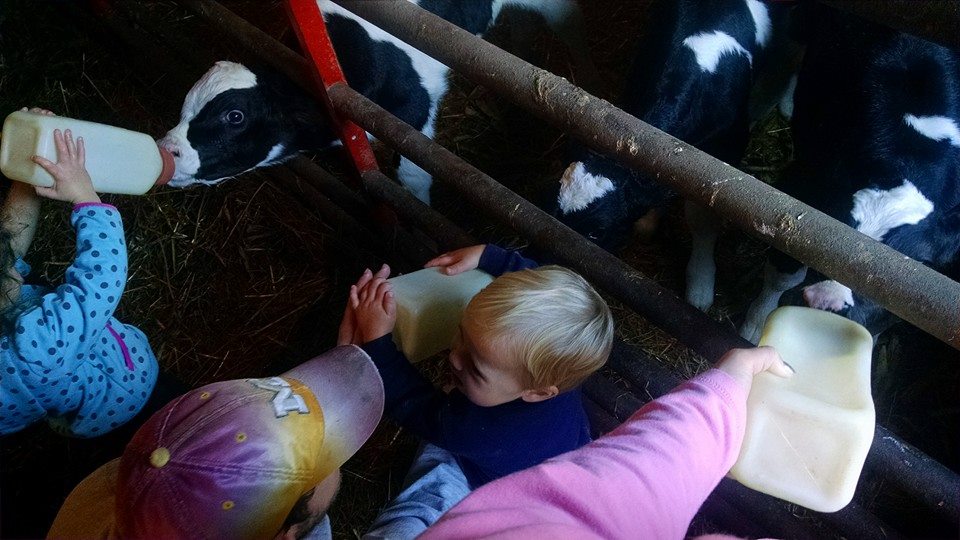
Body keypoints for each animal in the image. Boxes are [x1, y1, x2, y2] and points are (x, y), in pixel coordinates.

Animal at [552, 0, 776, 310]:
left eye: (597, 231)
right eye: (553, 206)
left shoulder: (727, 155)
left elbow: (702, 220)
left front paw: (700, 286)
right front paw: (648, 222)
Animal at [744, 3, 960, 342]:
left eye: (913, 270)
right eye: (830, 232)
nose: (825, 303)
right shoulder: (801, 185)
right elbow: (782, 272)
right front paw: (754, 326)